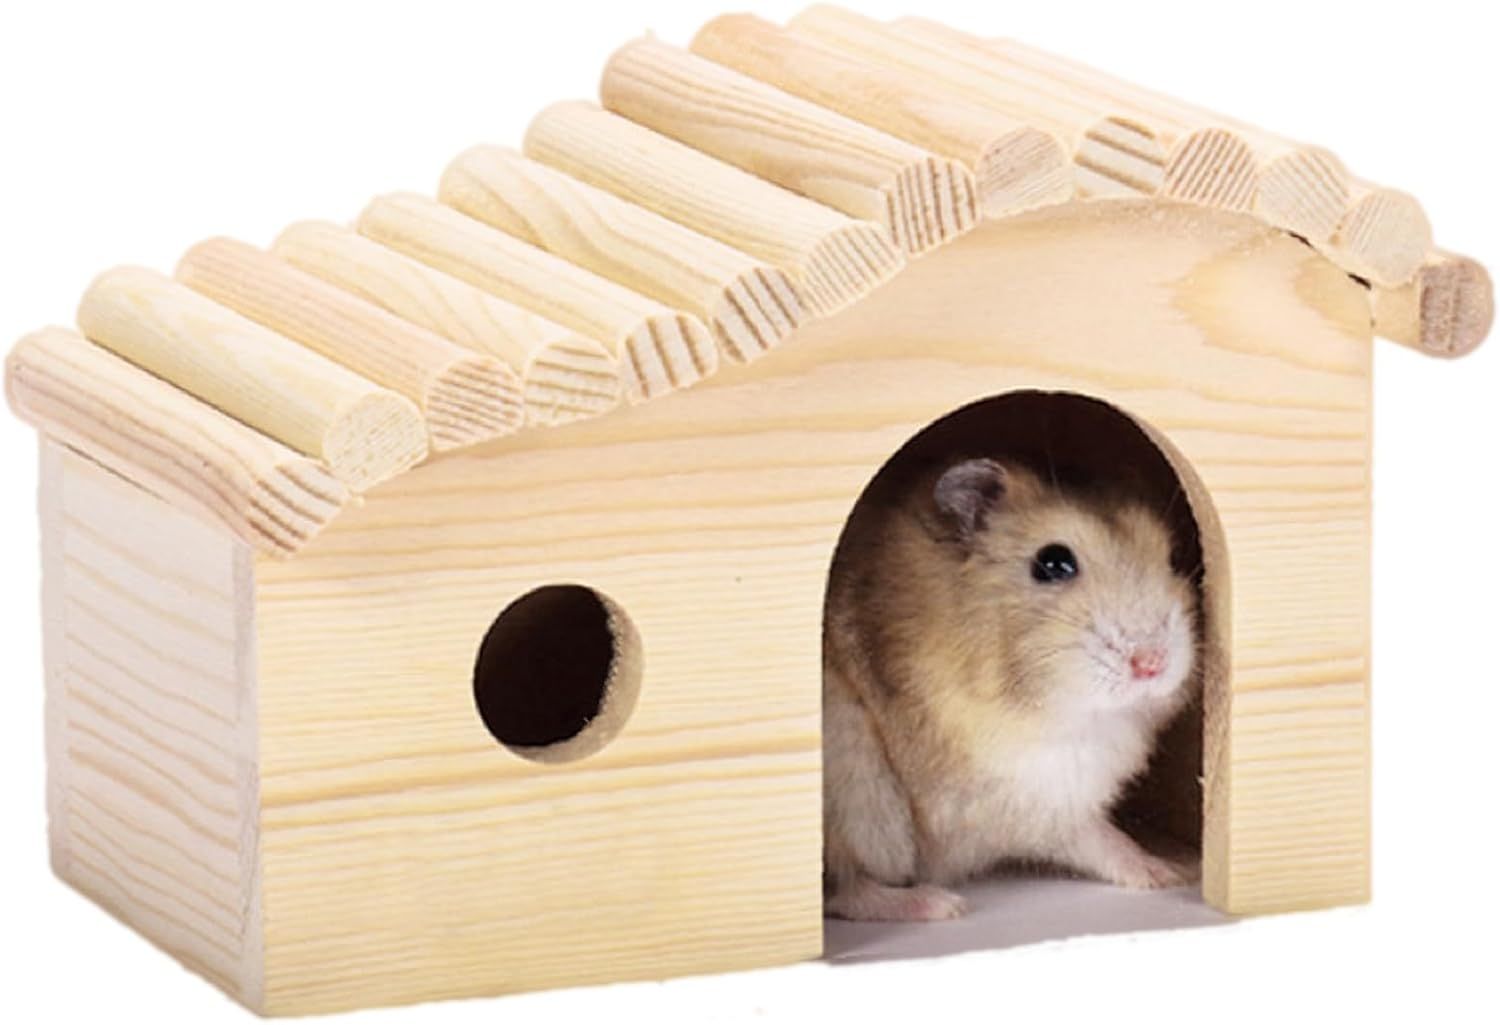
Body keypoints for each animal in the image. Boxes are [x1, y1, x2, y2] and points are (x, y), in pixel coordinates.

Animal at [822, 457, 1199, 921]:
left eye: (1172, 558)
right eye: (1053, 563)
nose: (1151, 663)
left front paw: (1178, 869)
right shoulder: (1019, 802)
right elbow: (1097, 836)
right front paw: (1169, 873)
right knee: (847, 890)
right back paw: (941, 905)